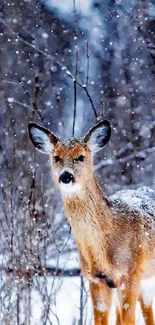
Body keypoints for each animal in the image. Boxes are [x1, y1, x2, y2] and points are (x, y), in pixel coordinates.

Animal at [27, 119, 155, 324]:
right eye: (56, 157)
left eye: (81, 157)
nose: (66, 176)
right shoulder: (95, 278)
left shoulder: (131, 274)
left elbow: (128, 320)